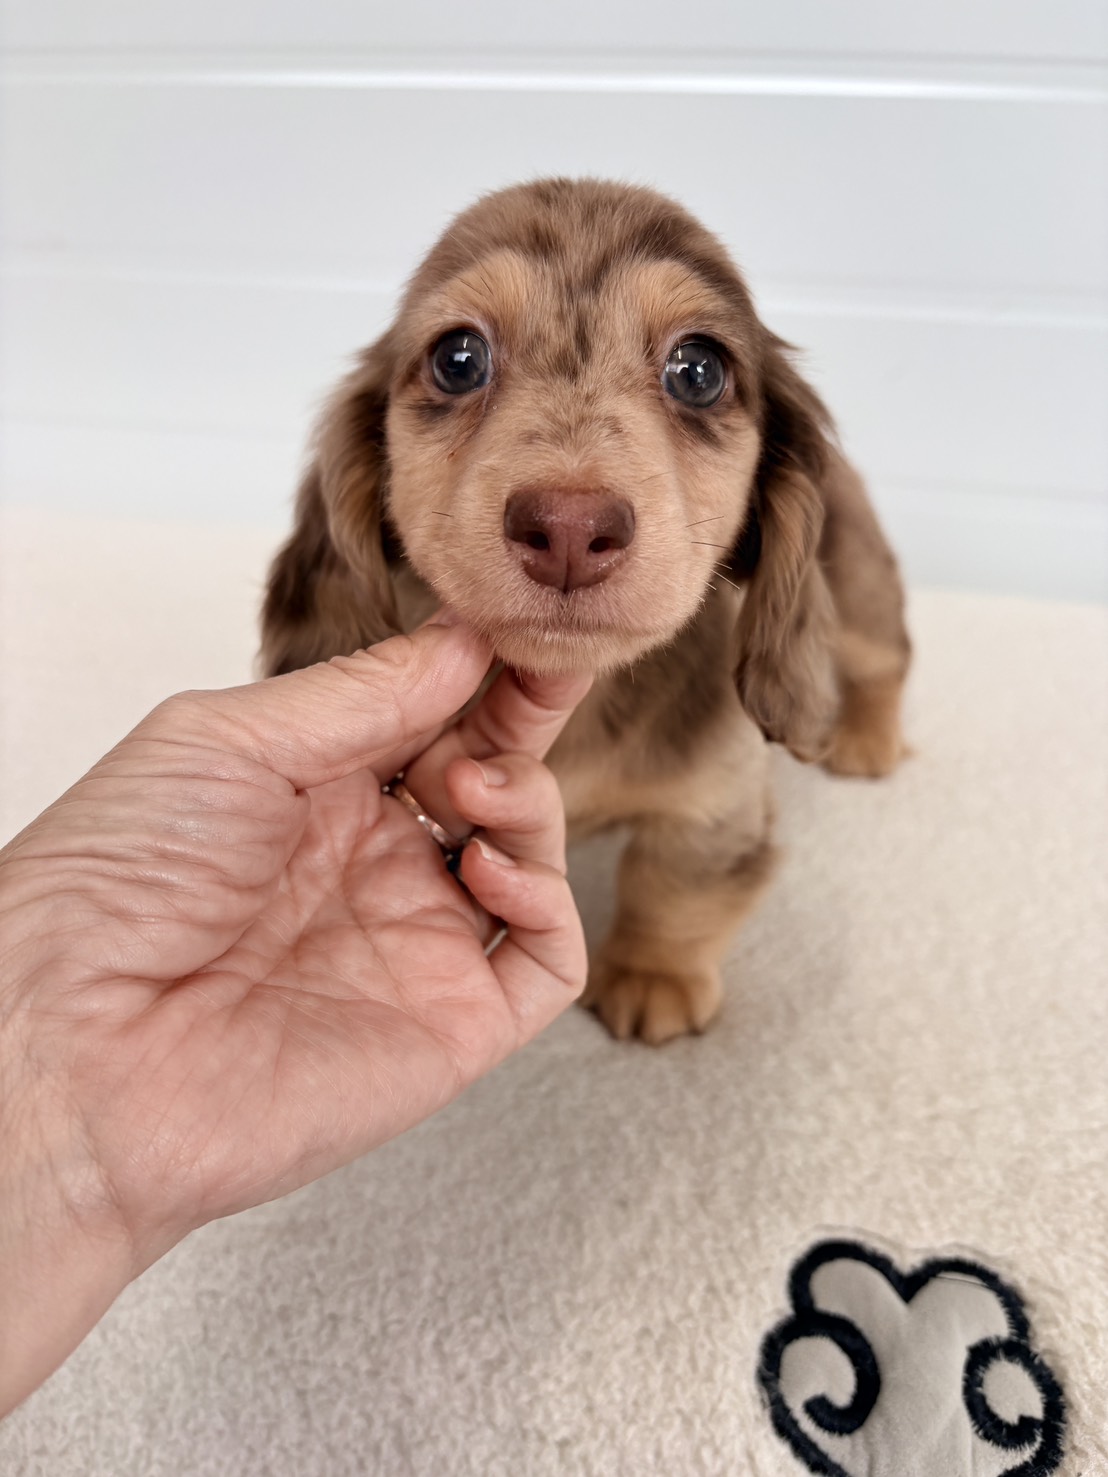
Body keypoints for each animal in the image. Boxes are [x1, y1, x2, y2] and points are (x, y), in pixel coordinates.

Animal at [260, 177, 910, 1044]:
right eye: (457, 359)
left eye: (699, 370)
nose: (569, 529)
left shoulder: (719, 801)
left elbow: (675, 882)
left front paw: (653, 975)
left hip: (863, 594)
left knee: (884, 660)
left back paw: (866, 738)